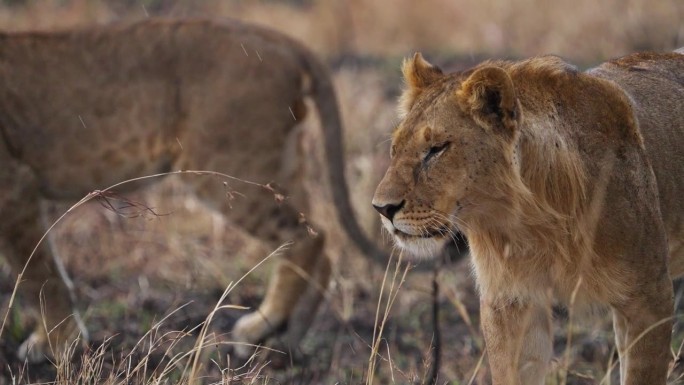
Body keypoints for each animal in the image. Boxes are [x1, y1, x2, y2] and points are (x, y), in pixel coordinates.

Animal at [0, 18, 382, 364]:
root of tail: (280, 39)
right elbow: (39, 269)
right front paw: (57, 341)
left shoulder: (14, 185)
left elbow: (37, 272)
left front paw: (53, 345)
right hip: (279, 164)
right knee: (322, 240)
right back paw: (286, 339)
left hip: (233, 166)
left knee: (308, 238)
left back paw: (258, 329)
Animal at [374, 48, 684, 384]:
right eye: (395, 149)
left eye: (437, 149)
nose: (382, 208)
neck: (530, 222)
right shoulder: (510, 303)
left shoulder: (649, 297)